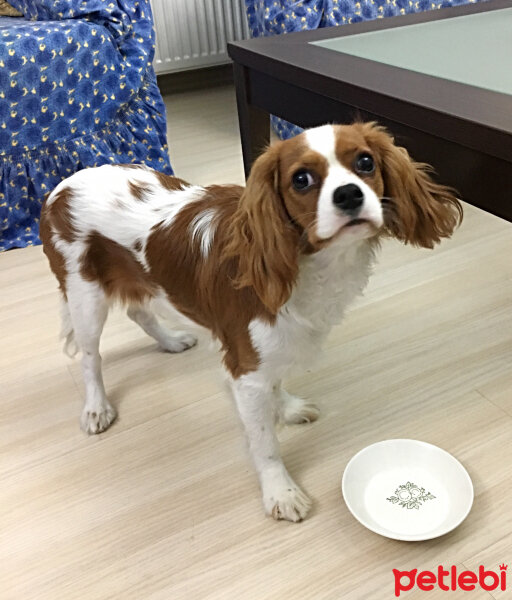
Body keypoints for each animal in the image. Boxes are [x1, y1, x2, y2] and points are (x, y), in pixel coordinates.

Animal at [41, 120, 464, 520]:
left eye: (365, 162)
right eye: (301, 179)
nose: (349, 194)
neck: (307, 262)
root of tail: (61, 188)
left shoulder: (269, 351)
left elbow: (276, 383)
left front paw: (286, 407)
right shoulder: (245, 364)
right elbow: (265, 443)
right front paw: (281, 492)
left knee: (138, 309)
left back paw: (171, 340)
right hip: (85, 296)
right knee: (90, 357)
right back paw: (96, 407)